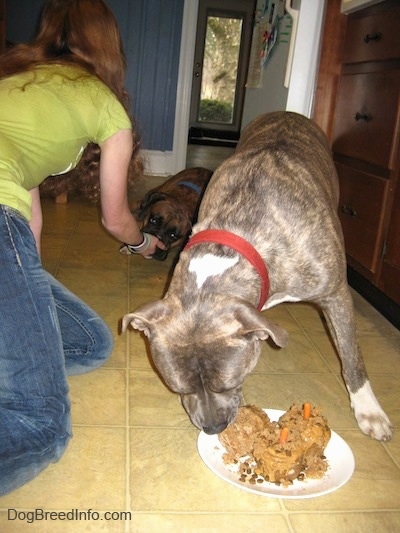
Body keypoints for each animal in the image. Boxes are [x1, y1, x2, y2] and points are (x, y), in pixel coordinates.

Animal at [122, 111, 394, 440]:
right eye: (178, 388)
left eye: (229, 384)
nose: (212, 428)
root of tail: (288, 113)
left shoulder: (336, 293)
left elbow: (352, 355)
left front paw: (369, 410)